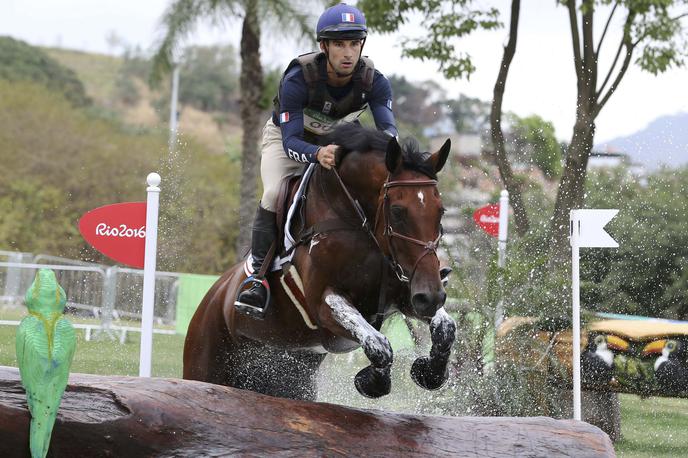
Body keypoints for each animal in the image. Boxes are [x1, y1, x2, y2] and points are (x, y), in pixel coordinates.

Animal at [181, 123, 456, 398]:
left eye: (441, 211)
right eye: (398, 212)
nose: (432, 296)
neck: (354, 221)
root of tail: (213, 295)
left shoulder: (405, 293)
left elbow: (446, 327)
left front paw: (428, 372)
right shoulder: (324, 304)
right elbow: (378, 344)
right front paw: (370, 382)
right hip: (205, 362)